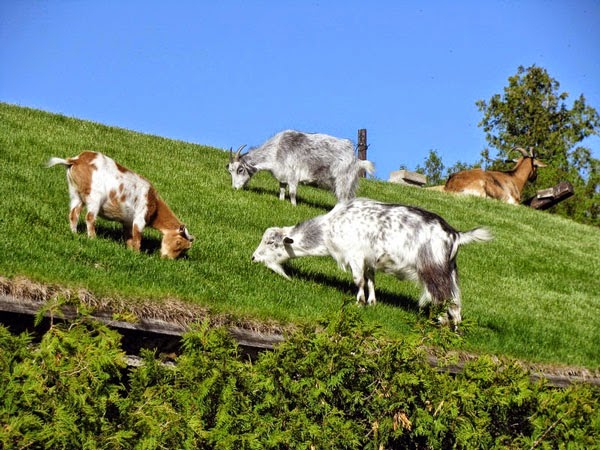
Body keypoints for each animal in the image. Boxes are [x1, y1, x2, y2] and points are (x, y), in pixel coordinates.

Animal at [49, 151, 195, 258]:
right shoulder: (139, 218)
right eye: (178, 242)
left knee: (73, 214)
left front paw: (129, 251)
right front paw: (137, 254)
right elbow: (137, 237)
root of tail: (76, 160)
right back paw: (92, 238)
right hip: (94, 196)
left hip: (75, 194)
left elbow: (128, 237)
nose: (166, 258)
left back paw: (74, 233)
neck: (154, 203)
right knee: (89, 217)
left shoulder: (127, 222)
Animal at [227, 129, 372, 205]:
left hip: (342, 182)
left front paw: (293, 206)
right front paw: (281, 201)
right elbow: (282, 190)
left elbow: (292, 193)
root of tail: (356, 159)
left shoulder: (293, 177)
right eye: (230, 171)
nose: (234, 188)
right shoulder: (282, 176)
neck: (276, 151)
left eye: (240, 169)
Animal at [253, 199, 492, 328]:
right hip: (450, 271)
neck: (329, 228)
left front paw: (359, 303)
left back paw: (441, 324)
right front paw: (372, 302)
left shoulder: (355, 255)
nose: (254, 258)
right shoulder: (369, 260)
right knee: (456, 301)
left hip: (433, 270)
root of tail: (455, 234)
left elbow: (358, 280)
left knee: (443, 299)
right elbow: (370, 280)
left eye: (270, 242)